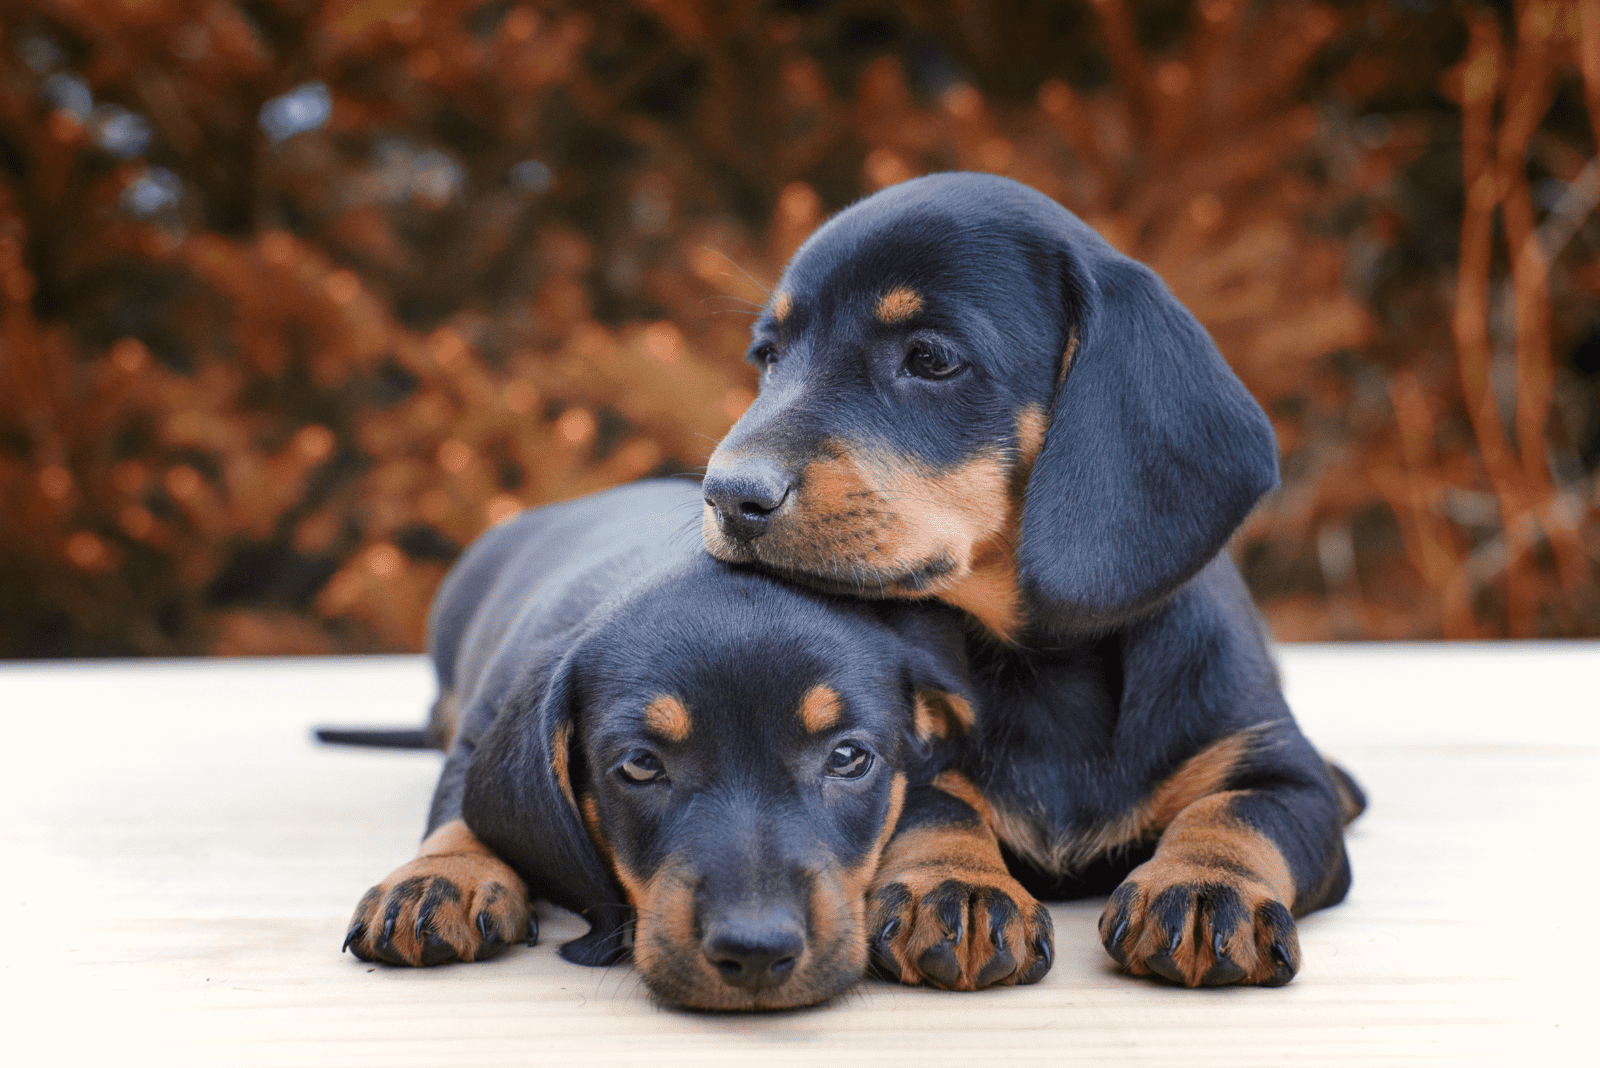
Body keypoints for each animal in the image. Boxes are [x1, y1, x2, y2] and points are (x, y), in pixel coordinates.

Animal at [344, 482, 1056, 1010]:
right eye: (640, 765)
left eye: (848, 758)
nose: (757, 954)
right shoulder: (484, 721)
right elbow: (459, 805)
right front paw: (442, 875)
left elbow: (942, 799)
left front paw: (955, 880)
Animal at [704, 171, 1363, 991]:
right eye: (768, 356)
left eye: (931, 359)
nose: (727, 495)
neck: (1047, 668)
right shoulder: (903, 762)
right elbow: (935, 807)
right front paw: (956, 885)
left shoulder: (1279, 770)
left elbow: (1238, 814)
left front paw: (1205, 886)